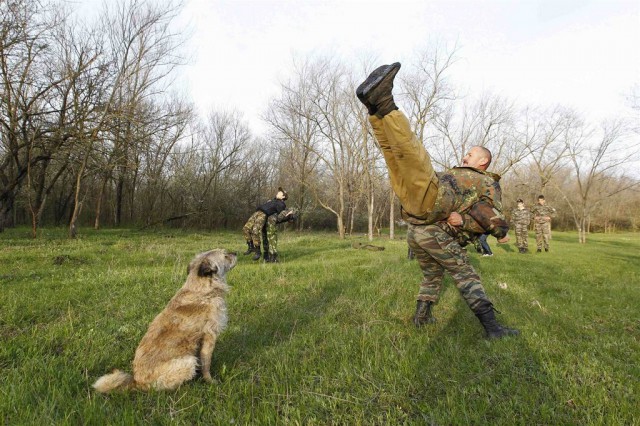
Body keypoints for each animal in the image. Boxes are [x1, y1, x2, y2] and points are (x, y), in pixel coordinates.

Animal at [92, 250, 238, 392]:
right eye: (225, 255)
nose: (236, 252)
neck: (203, 290)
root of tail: (137, 382)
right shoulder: (209, 336)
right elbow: (206, 363)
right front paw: (210, 381)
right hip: (188, 361)